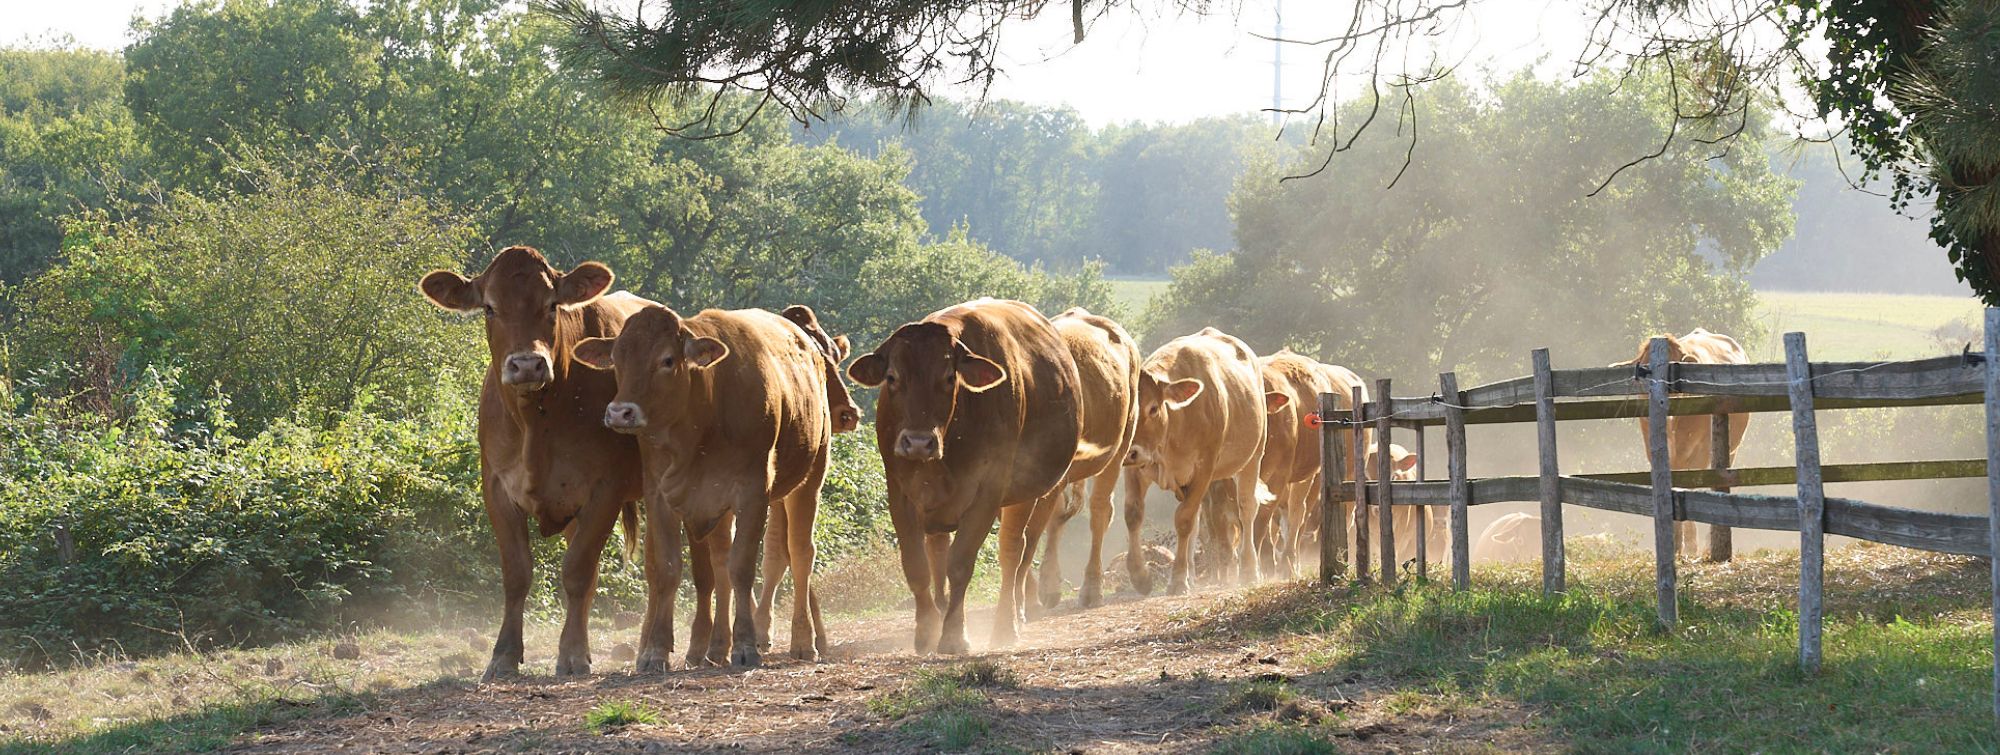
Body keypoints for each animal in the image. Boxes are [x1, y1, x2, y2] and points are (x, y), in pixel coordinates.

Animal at [419, 246, 728, 679]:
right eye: (489, 308)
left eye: (552, 305)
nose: (527, 364)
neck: (537, 421)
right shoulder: (497, 488)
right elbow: (517, 574)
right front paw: (503, 655)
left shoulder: (605, 491)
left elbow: (578, 571)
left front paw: (572, 654)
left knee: (689, 570)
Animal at [573, 305, 836, 667]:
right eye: (616, 358)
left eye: (667, 360)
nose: (619, 413)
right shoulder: (663, 494)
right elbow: (671, 569)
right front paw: (656, 650)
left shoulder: (753, 493)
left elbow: (742, 566)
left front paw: (745, 645)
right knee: (721, 562)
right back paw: (716, 646)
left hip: (809, 479)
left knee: (799, 553)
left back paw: (803, 640)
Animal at [847, 298, 1082, 654]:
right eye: (892, 376)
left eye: (949, 377)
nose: (918, 442)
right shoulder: (900, 493)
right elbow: (916, 566)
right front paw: (927, 631)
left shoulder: (987, 492)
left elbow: (960, 564)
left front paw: (954, 635)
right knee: (938, 550)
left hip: (1025, 492)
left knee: (1014, 552)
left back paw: (1007, 624)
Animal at [1123, 327, 1268, 593]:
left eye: (1153, 408)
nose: (1130, 452)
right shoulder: (1136, 468)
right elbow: (1133, 513)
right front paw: (1140, 576)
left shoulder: (1204, 470)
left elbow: (1184, 520)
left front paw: (1178, 579)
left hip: (1253, 456)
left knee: (1246, 508)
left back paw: (1250, 569)